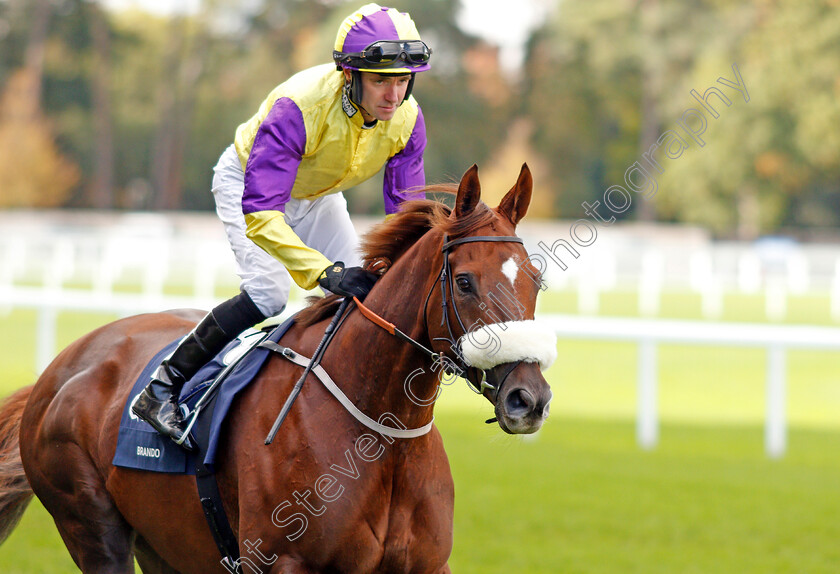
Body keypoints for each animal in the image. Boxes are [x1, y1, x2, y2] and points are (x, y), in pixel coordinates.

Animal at [0, 164, 552, 572]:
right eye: (464, 282)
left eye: (536, 279)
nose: (530, 398)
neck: (381, 437)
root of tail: (61, 368)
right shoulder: (282, 562)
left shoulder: (427, 565)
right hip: (90, 523)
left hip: (165, 547)